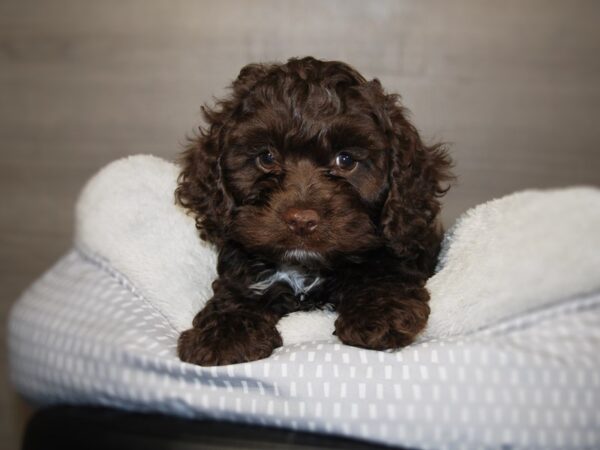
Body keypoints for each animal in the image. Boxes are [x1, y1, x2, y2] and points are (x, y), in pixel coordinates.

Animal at [173, 56, 450, 366]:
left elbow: (385, 272)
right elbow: (235, 291)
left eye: (346, 160)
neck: (304, 269)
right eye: (266, 157)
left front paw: (380, 314)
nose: (302, 221)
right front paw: (224, 333)